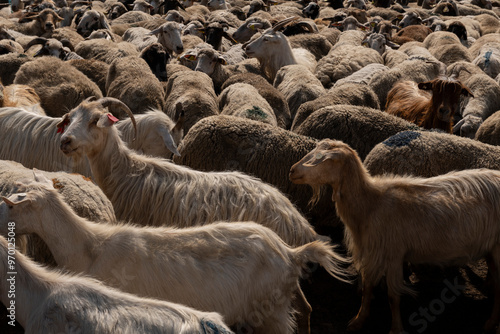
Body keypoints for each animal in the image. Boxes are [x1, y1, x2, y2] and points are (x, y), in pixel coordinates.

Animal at [290, 136, 500, 334]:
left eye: (323, 159)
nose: (292, 170)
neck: (371, 204)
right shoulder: (372, 252)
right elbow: (367, 288)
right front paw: (358, 320)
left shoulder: (393, 254)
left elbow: (393, 297)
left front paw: (396, 328)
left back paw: (491, 324)